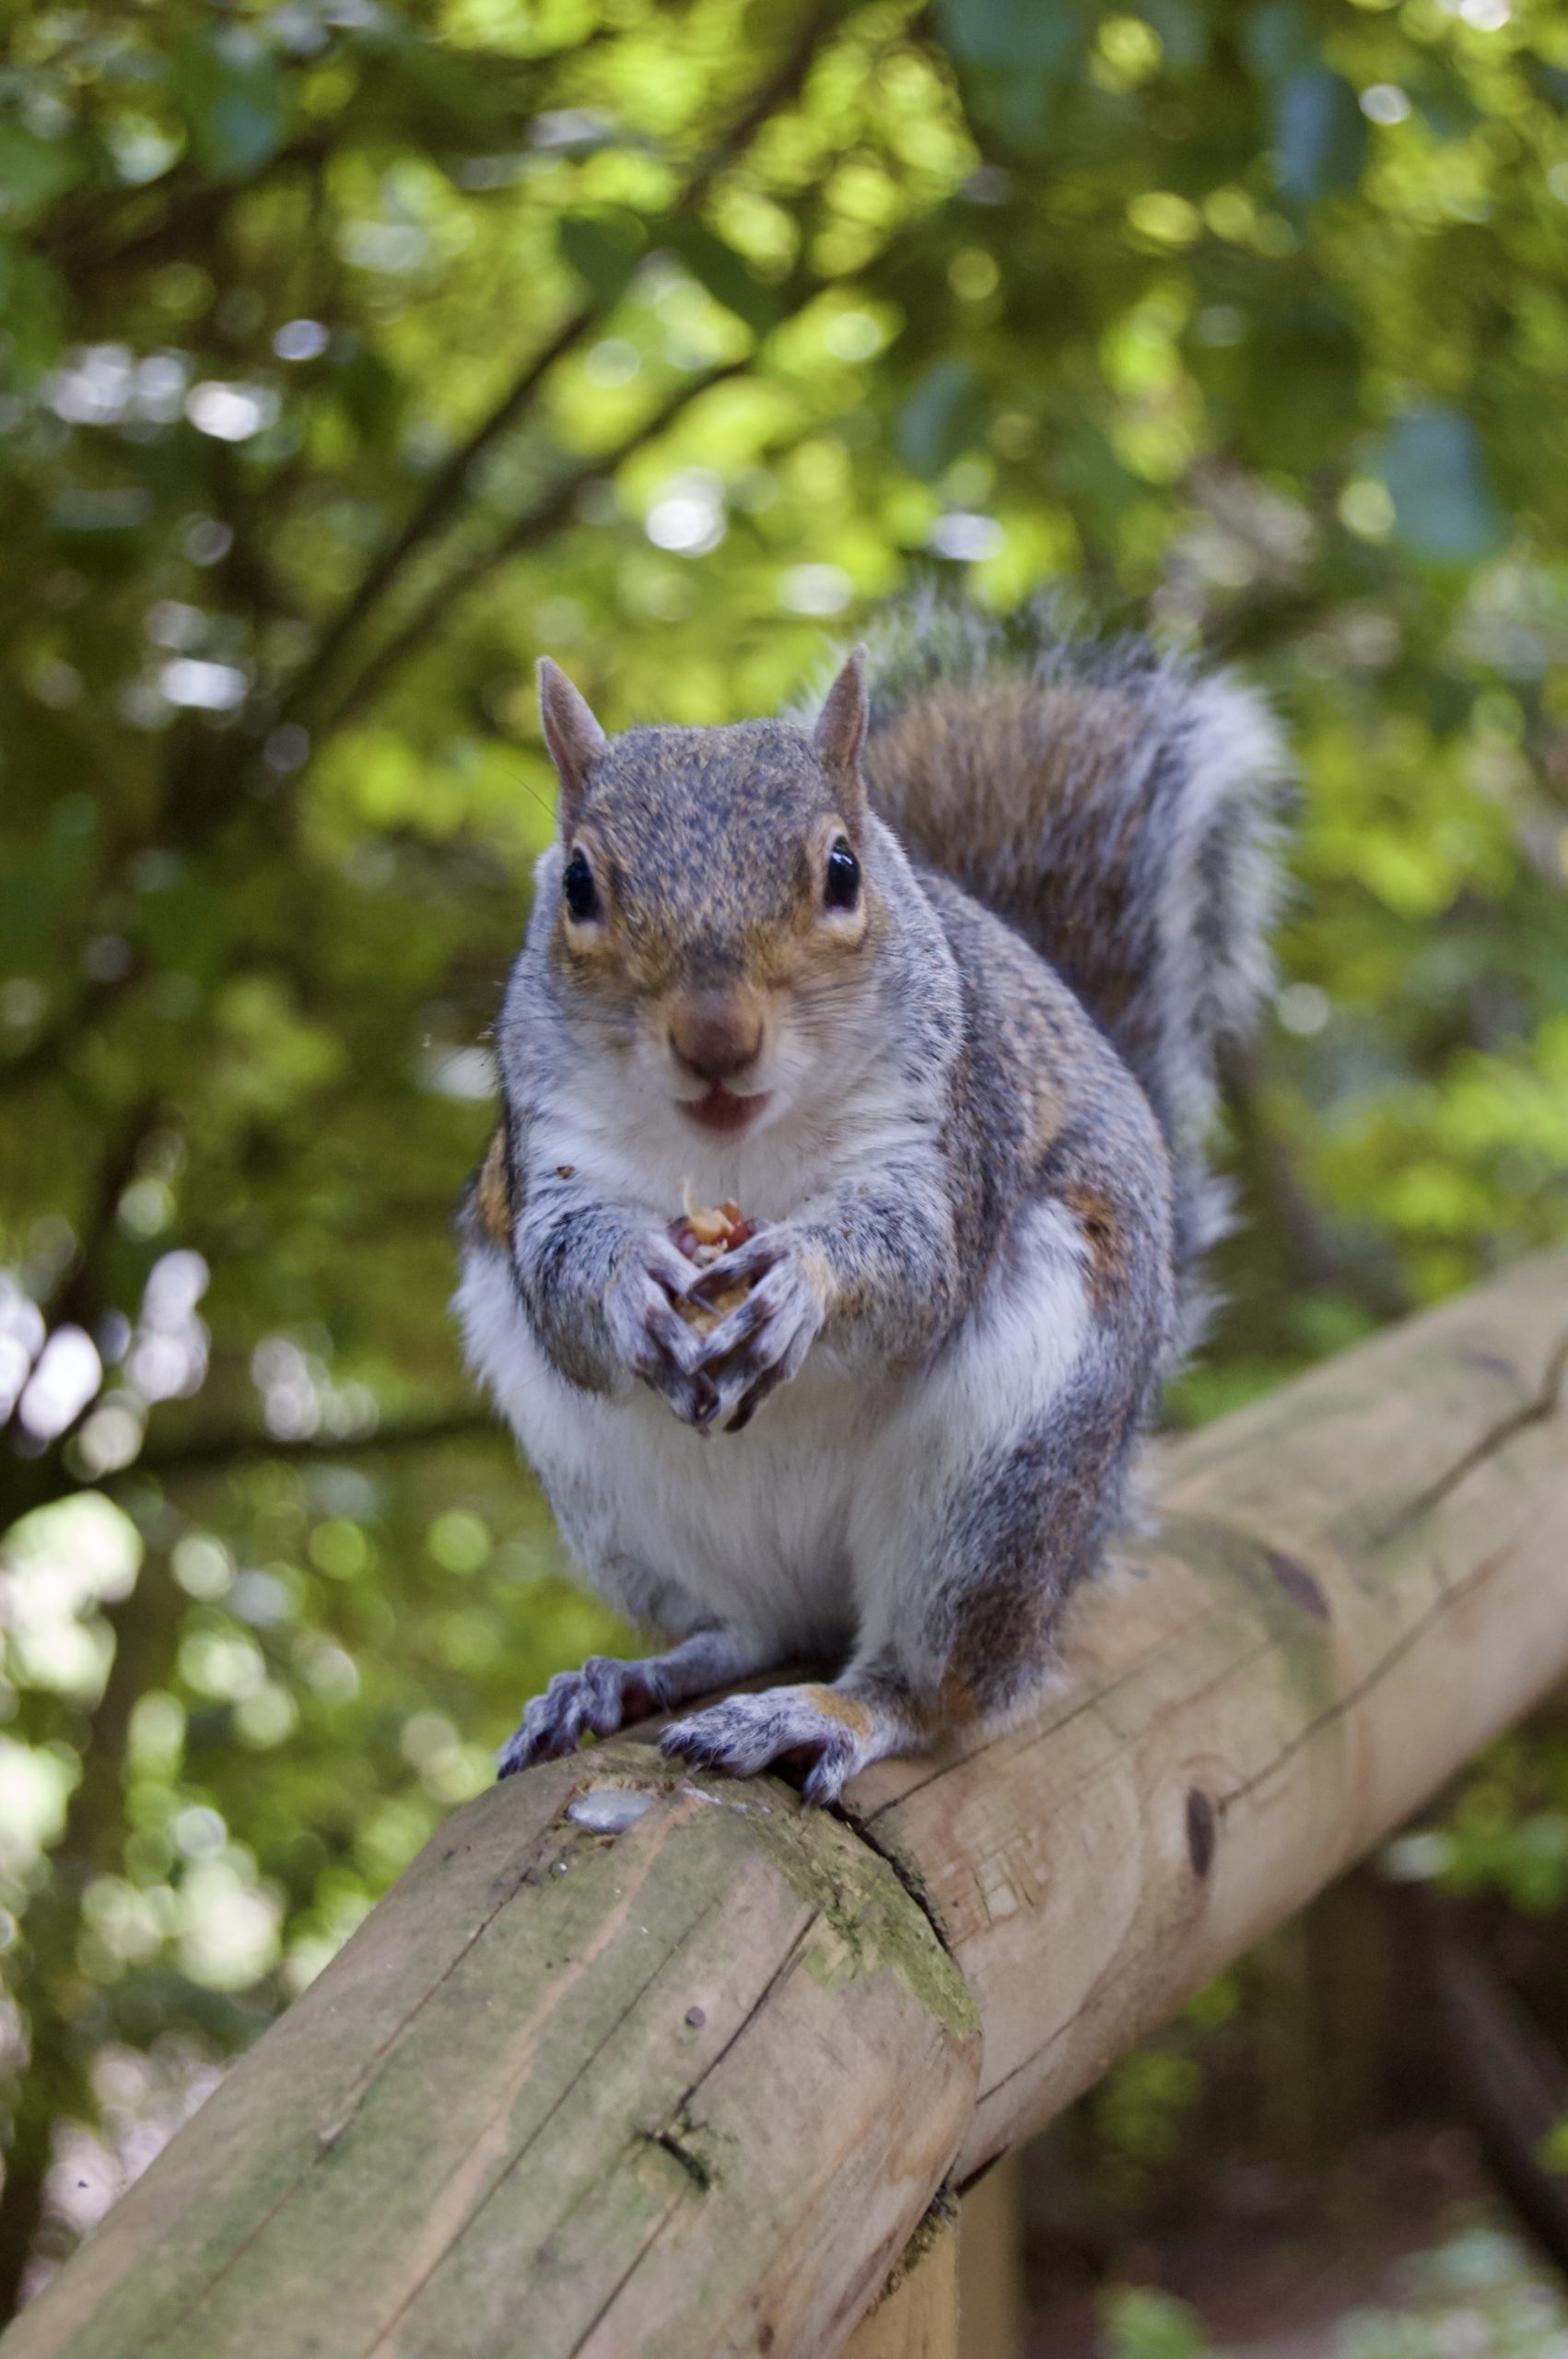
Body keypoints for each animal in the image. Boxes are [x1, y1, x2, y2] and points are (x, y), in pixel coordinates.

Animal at [457, 594, 1288, 1804]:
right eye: (577, 884)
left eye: (842, 871)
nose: (716, 1039)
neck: (736, 1152)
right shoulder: (548, 1146)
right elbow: (559, 1268)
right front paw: (630, 1280)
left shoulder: (946, 1125)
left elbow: (918, 1262)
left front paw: (803, 1279)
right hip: (612, 1499)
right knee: (743, 1629)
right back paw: (623, 1677)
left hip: (1001, 1484)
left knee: (942, 1689)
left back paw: (830, 1709)